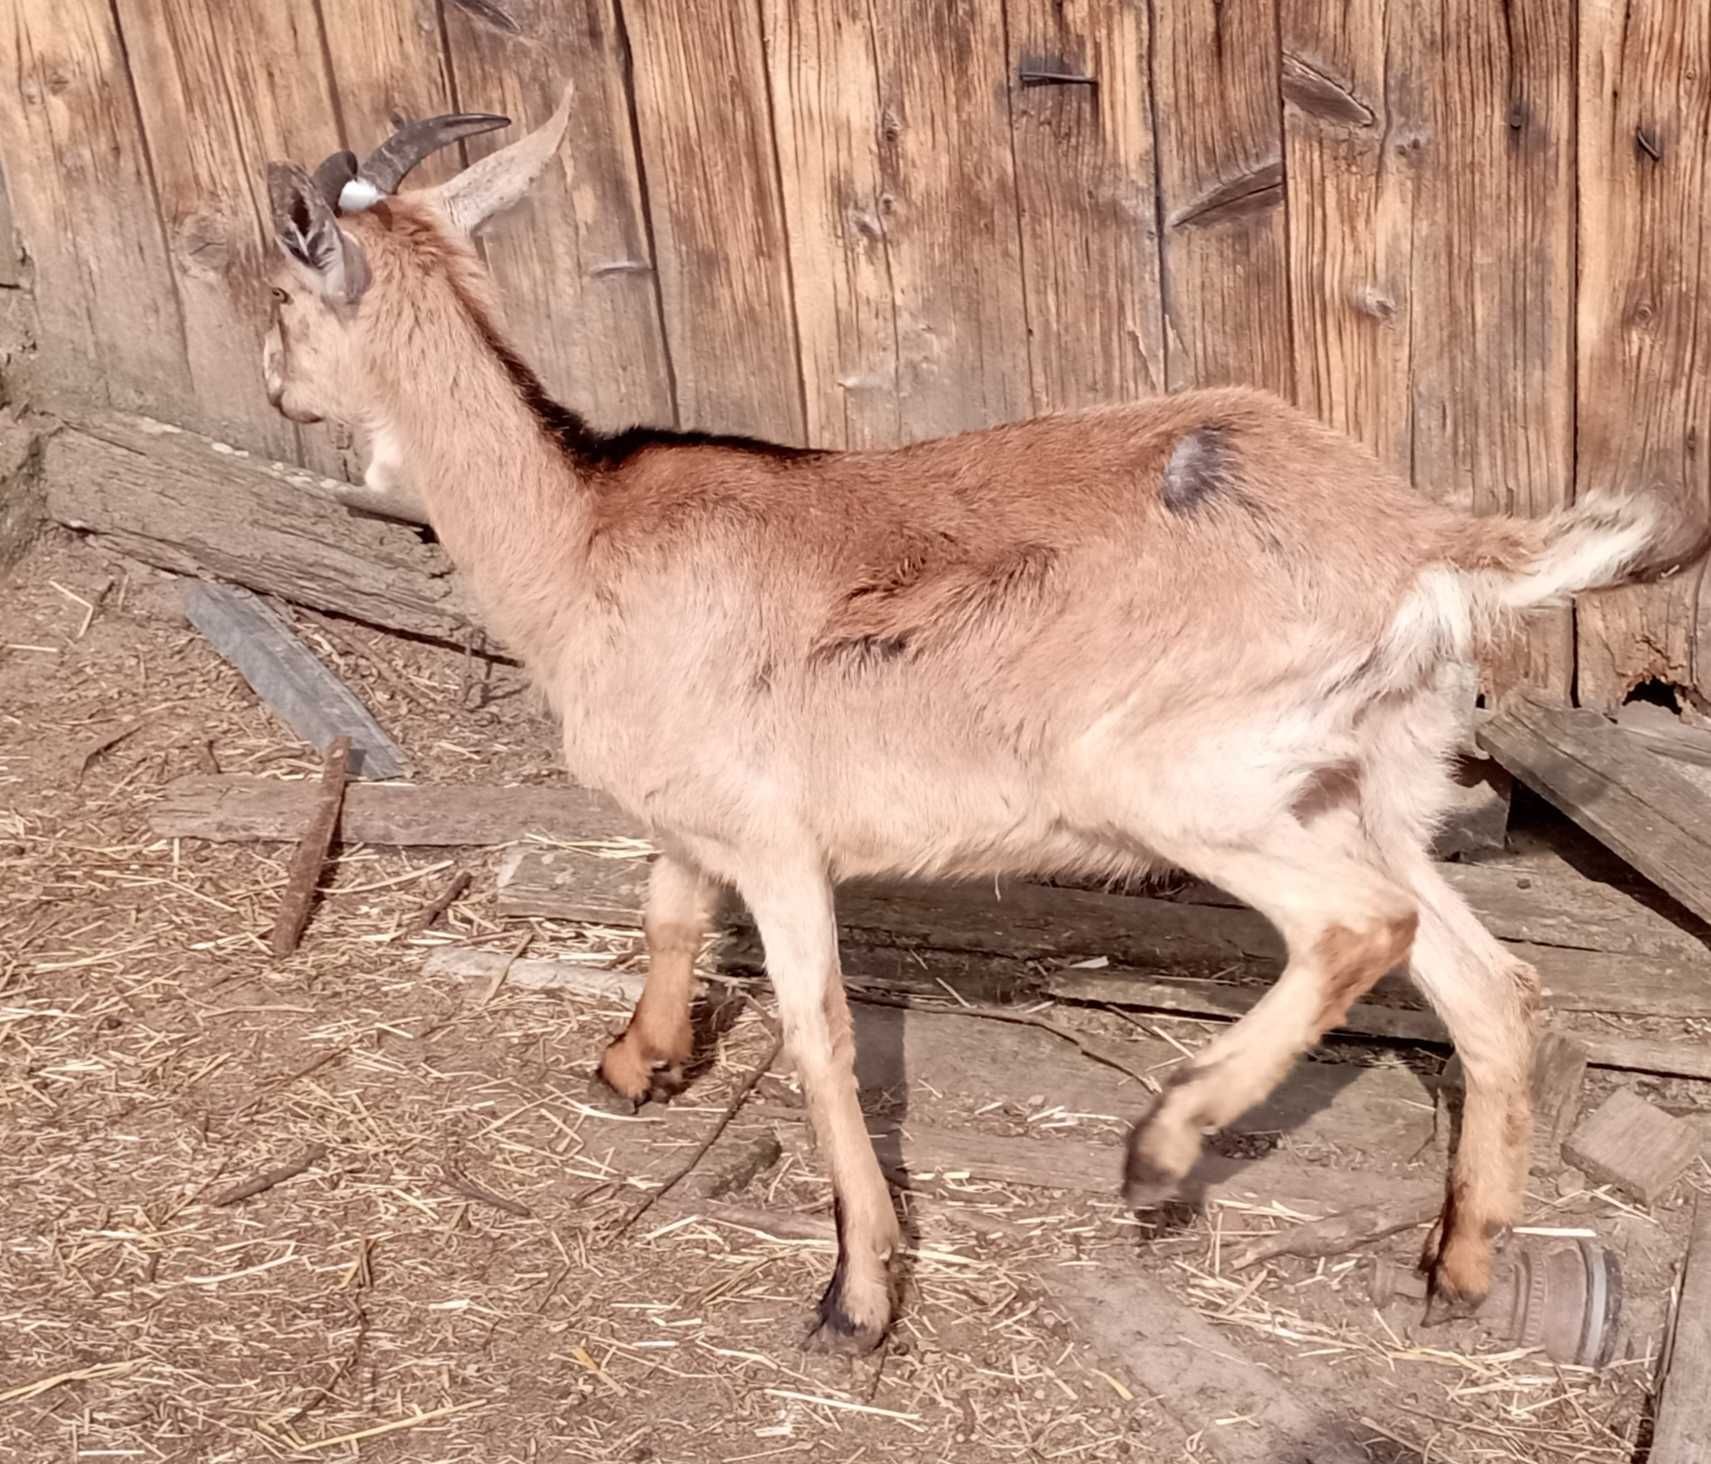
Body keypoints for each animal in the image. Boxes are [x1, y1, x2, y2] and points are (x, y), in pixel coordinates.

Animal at [256, 88, 1711, 1347]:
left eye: (280, 298)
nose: (276, 389)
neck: (580, 533)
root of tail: (1418, 538)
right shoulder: (697, 816)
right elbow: (665, 911)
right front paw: (638, 1065)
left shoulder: (779, 843)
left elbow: (821, 1036)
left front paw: (858, 1291)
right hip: (1369, 780)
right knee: (1487, 984)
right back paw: (1455, 1265)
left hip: (1181, 776)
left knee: (1359, 928)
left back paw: (1161, 1146)